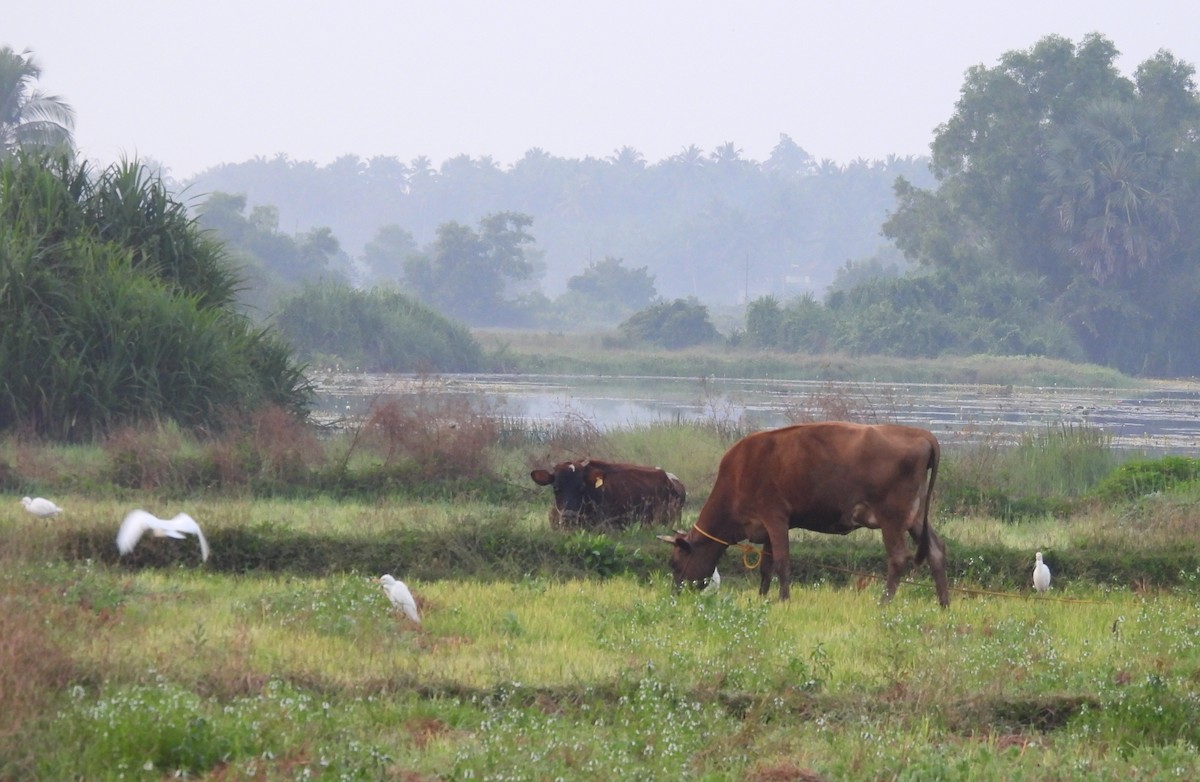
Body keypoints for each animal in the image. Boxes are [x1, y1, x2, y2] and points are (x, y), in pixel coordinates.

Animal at [657, 424, 945, 606]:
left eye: (674, 563)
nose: (675, 595)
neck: (737, 475)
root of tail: (920, 434)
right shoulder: (764, 528)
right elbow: (766, 566)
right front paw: (762, 598)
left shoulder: (775, 517)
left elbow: (782, 561)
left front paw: (784, 600)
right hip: (915, 517)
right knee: (936, 550)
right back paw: (944, 604)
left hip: (892, 517)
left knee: (898, 557)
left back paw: (883, 603)